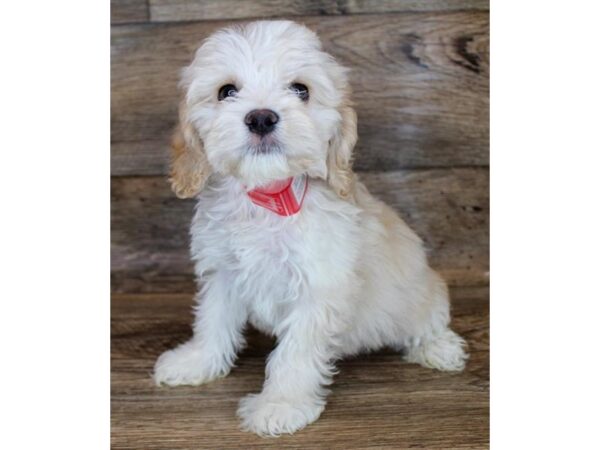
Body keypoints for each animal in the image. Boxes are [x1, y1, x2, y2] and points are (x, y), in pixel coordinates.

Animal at [155, 20, 468, 436]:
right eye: (226, 91)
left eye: (301, 89)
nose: (261, 118)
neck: (270, 196)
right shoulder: (222, 271)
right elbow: (212, 320)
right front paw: (196, 362)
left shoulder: (317, 289)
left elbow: (295, 354)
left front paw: (281, 405)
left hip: (421, 291)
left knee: (427, 320)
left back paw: (439, 348)